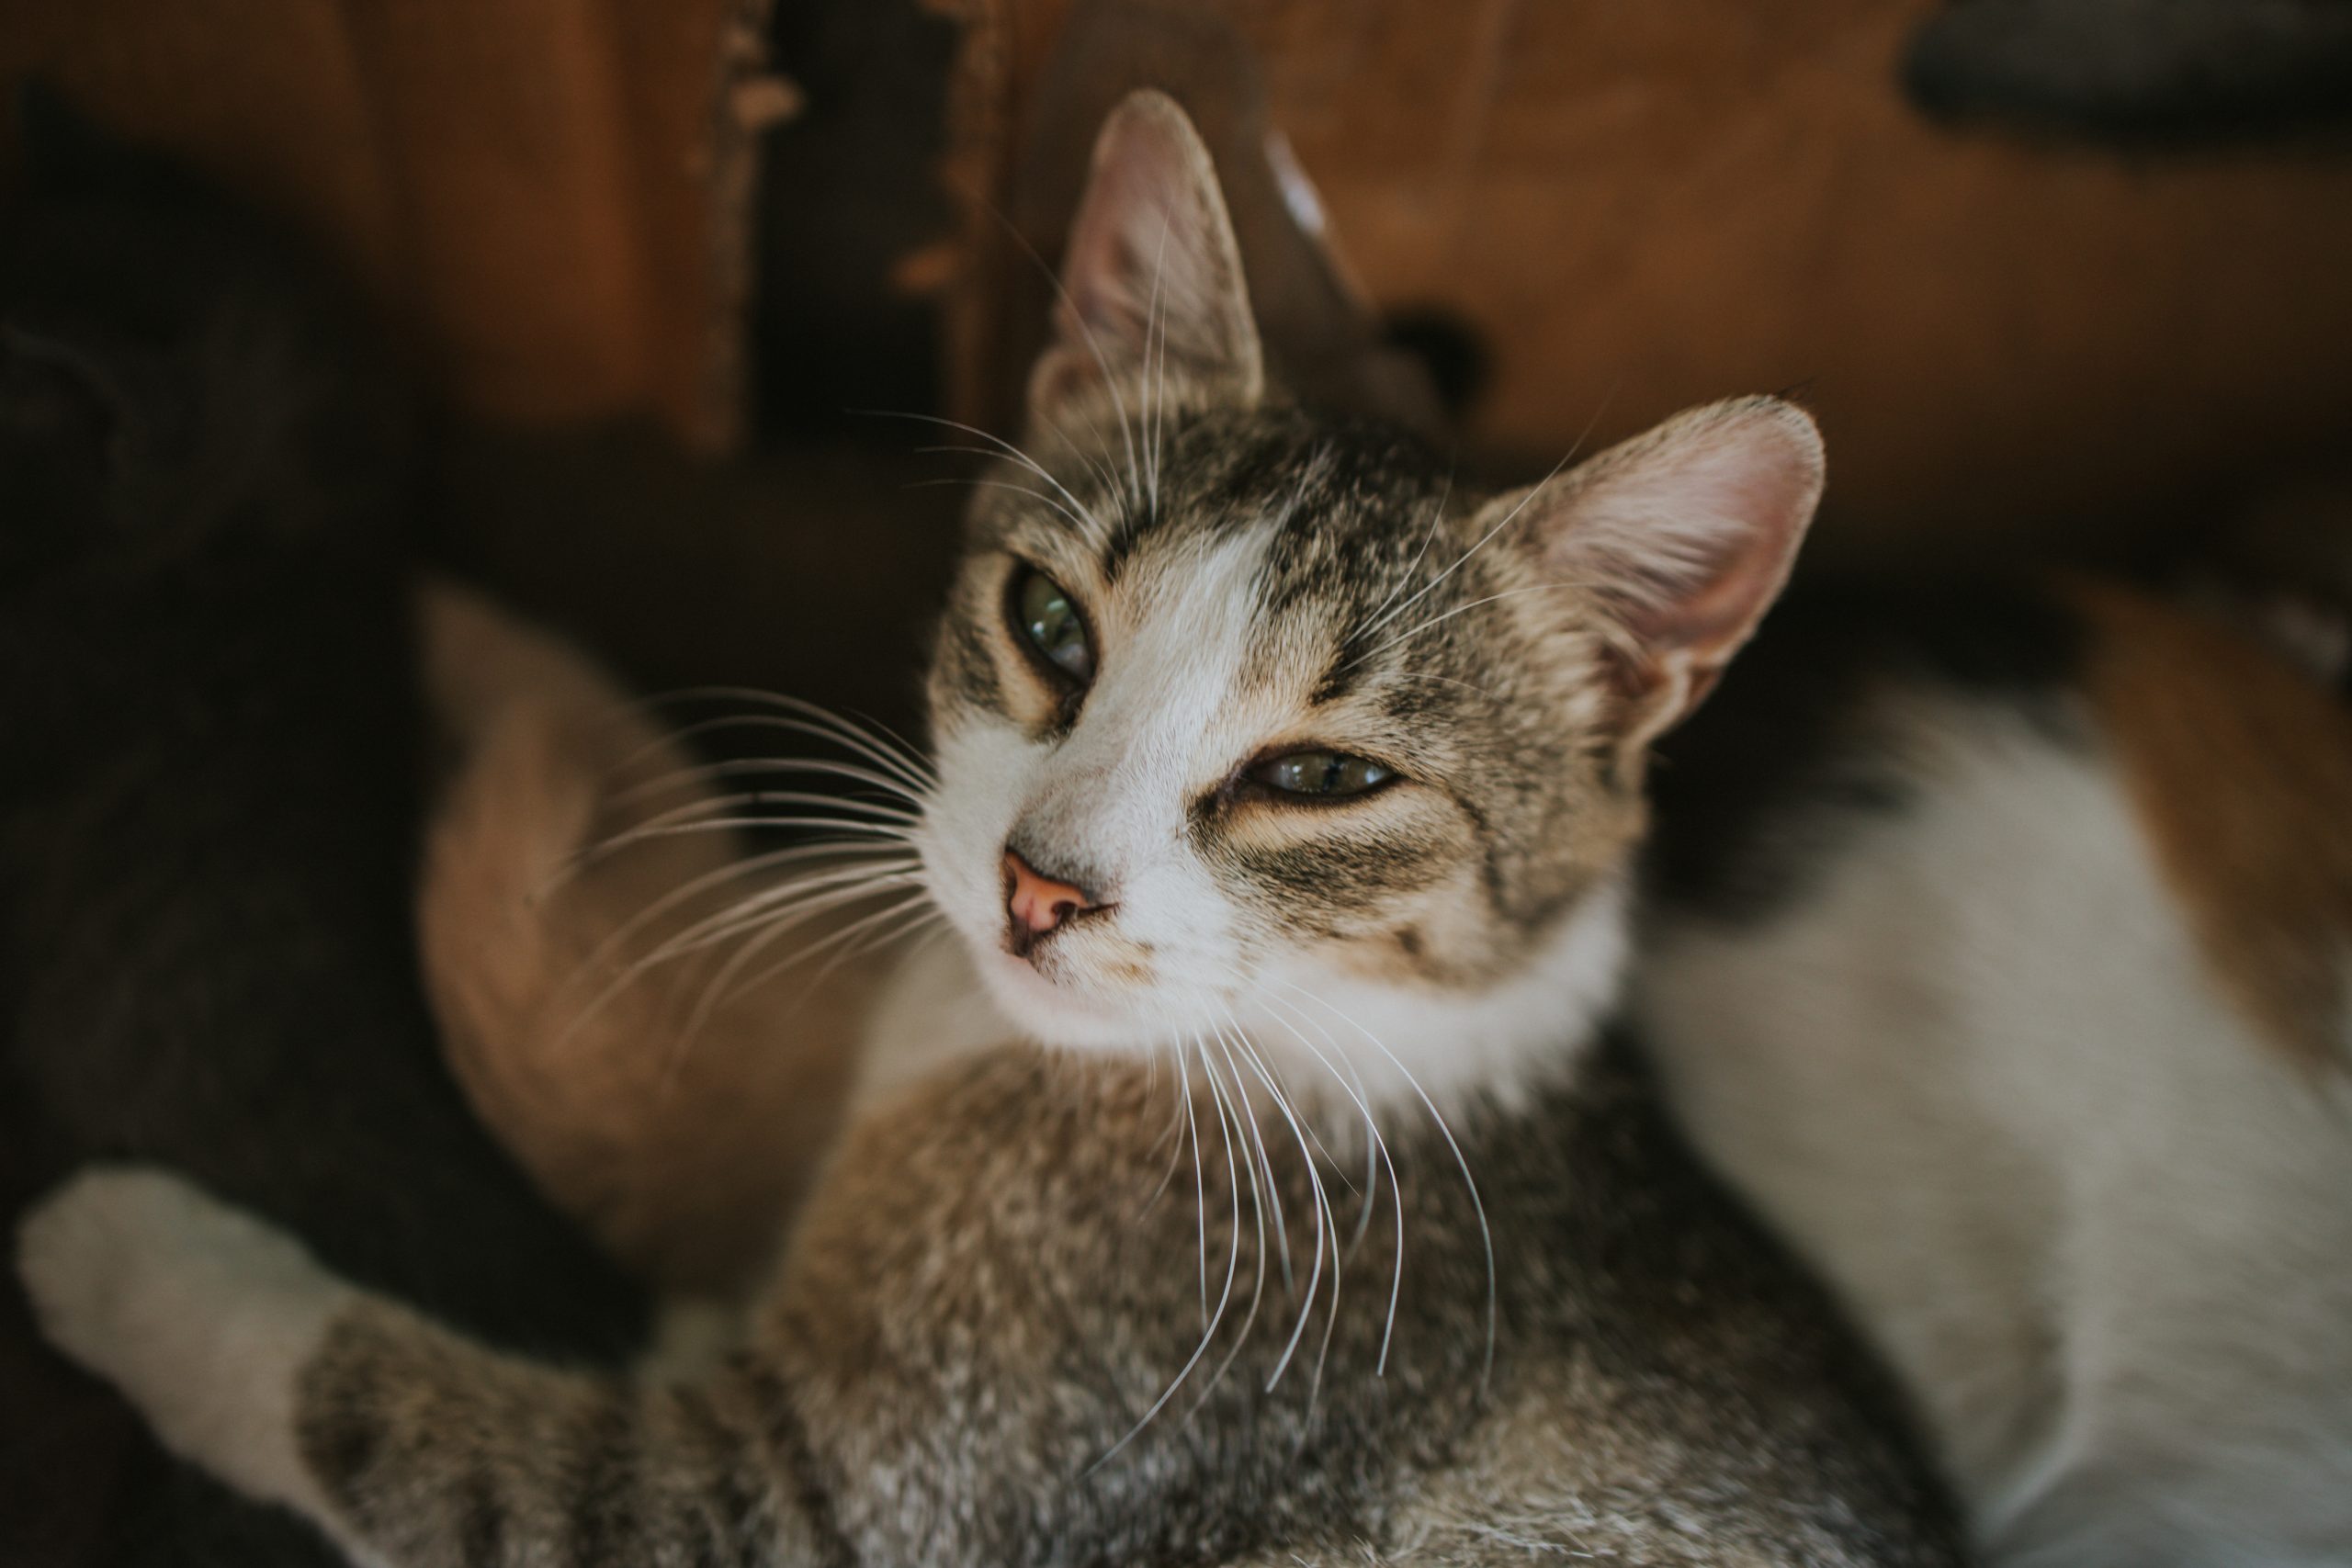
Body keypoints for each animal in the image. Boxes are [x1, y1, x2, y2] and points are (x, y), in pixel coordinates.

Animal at [22, 88, 1966, 1568]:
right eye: (1049, 624)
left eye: (1324, 780)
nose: (1040, 888)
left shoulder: (834, 1500)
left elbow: (430, 1426)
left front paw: (121, 1248)